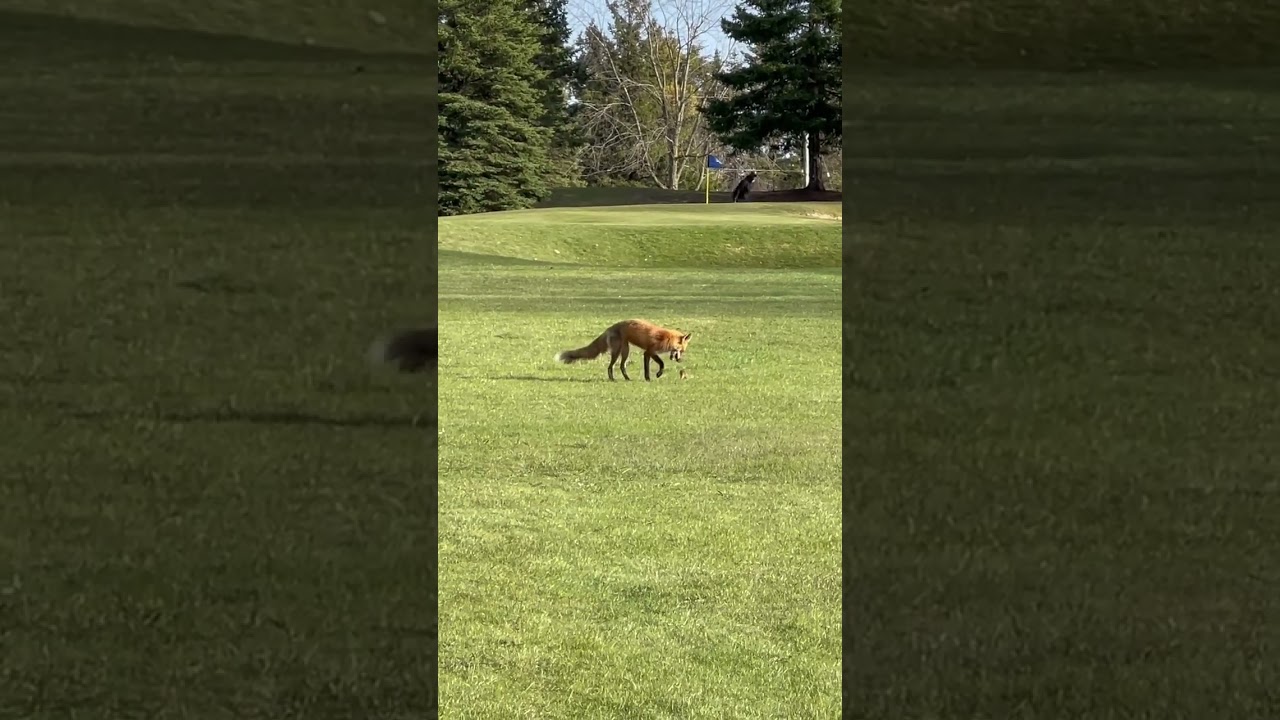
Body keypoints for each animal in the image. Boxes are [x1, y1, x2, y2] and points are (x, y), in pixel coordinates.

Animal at [555, 319, 691, 381]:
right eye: (681, 350)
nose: (680, 360)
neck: (666, 338)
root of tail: (610, 327)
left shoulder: (648, 353)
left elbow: (649, 367)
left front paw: (648, 378)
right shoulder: (649, 351)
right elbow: (660, 364)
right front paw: (655, 375)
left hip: (625, 350)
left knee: (621, 366)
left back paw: (626, 378)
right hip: (618, 352)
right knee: (611, 366)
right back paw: (613, 379)